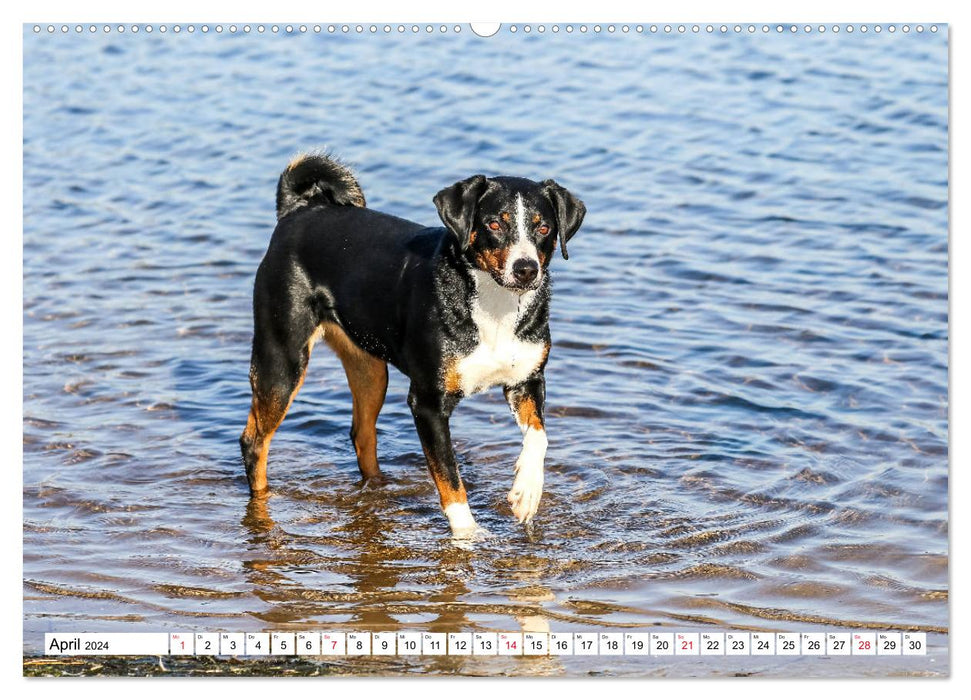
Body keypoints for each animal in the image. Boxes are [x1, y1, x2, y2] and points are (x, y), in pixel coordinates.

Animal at [241, 152, 584, 536]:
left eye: (544, 228)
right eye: (495, 224)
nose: (525, 269)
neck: (495, 308)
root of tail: (299, 210)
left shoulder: (526, 380)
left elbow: (538, 437)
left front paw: (527, 491)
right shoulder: (428, 402)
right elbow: (449, 477)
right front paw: (467, 535)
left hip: (370, 369)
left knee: (362, 435)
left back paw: (379, 489)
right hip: (282, 359)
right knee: (254, 441)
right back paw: (262, 504)